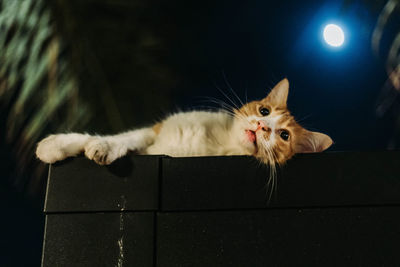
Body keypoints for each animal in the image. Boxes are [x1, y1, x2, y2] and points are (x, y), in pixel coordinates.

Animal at [36, 78, 332, 169]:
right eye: (264, 110)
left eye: (284, 135)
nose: (262, 126)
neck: (217, 141)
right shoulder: (154, 131)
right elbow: (125, 137)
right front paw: (56, 145)